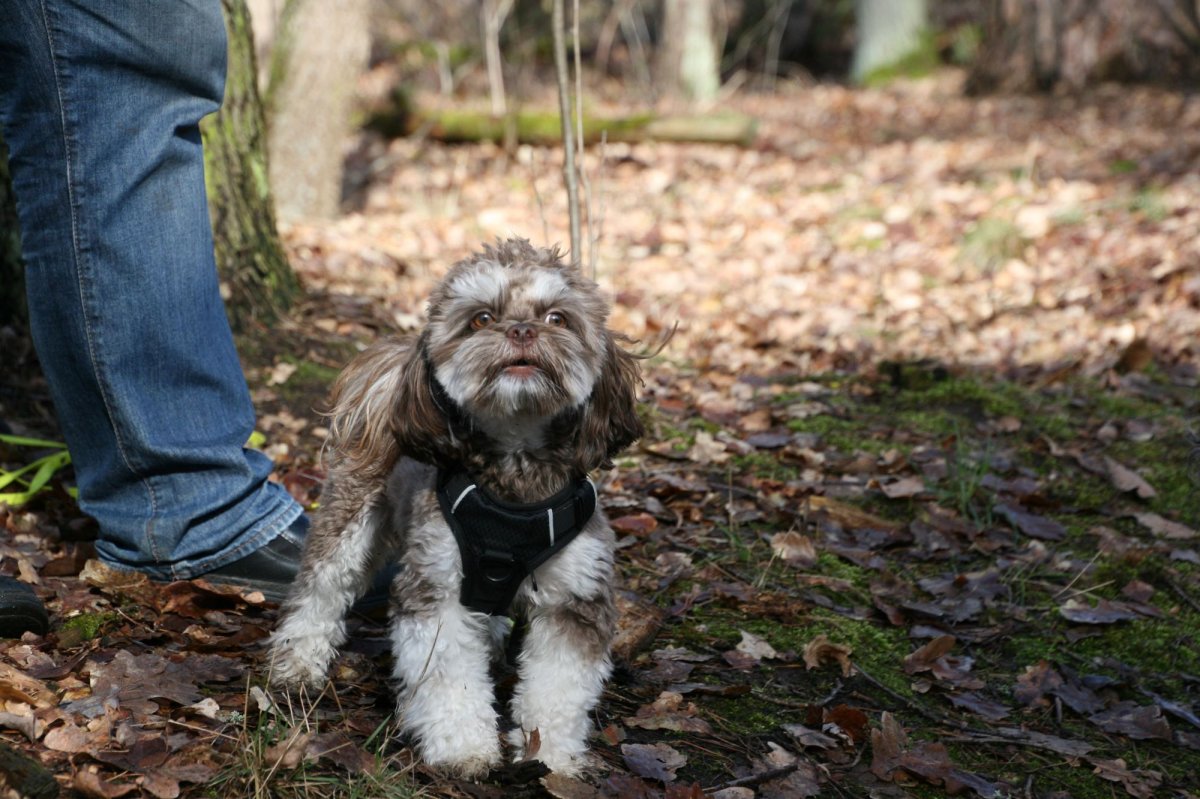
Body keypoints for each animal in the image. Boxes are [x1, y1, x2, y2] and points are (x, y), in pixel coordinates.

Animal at [267, 238, 644, 777]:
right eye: (482, 318)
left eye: (557, 318)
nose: (521, 330)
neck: (515, 479)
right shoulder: (436, 587)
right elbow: (450, 678)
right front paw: (463, 748)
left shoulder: (576, 599)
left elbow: (559, 687)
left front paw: (549, 755)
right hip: (349, 519)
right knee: (320, 590)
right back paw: (297, 663)